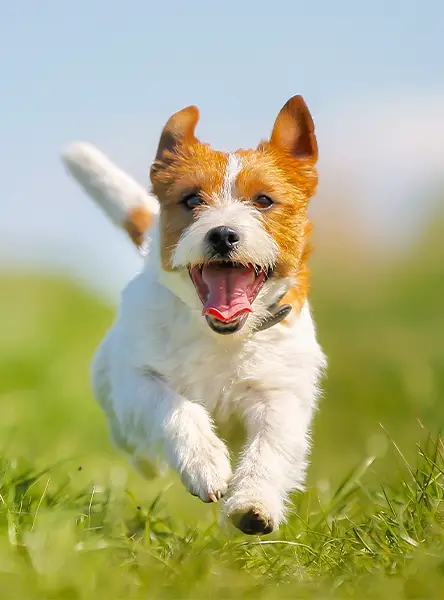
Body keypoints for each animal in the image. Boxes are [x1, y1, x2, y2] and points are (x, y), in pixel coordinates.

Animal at [61, 95, 326, 536]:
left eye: (264, 200)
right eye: (191, 200)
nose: (223, 234)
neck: (221, 336)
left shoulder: (280, 393)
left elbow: (270, 446)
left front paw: (253, 503)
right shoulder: (139, 379)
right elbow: (176, 408)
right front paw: (205, 464)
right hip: (112, 389)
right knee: (131, 438)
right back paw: (149, 461)